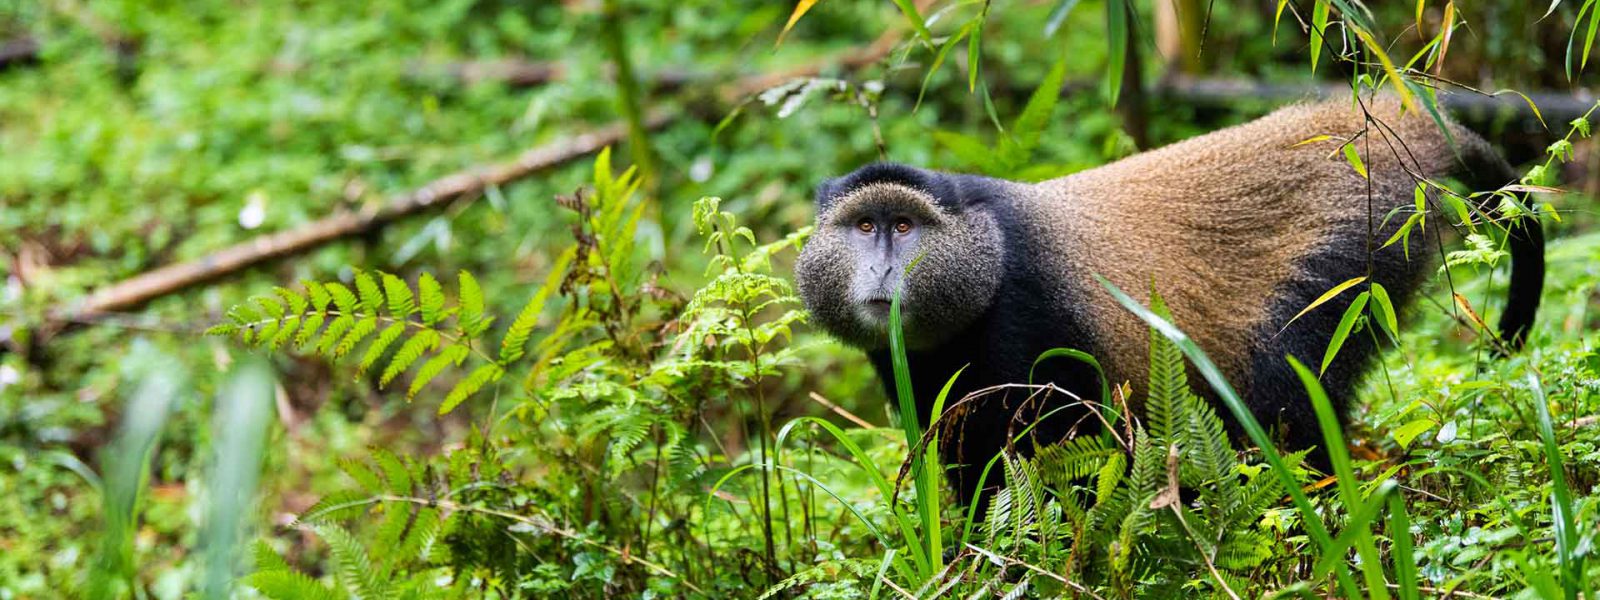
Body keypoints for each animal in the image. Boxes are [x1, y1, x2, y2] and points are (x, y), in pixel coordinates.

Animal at [793, 98, 1544, 508]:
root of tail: (1396, 129)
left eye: (903, 226)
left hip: (1353, 254)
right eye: (864, 226)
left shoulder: (1027, 323)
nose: (885, 266)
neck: (988, 254)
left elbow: (1063, 453)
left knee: (1287, 394)